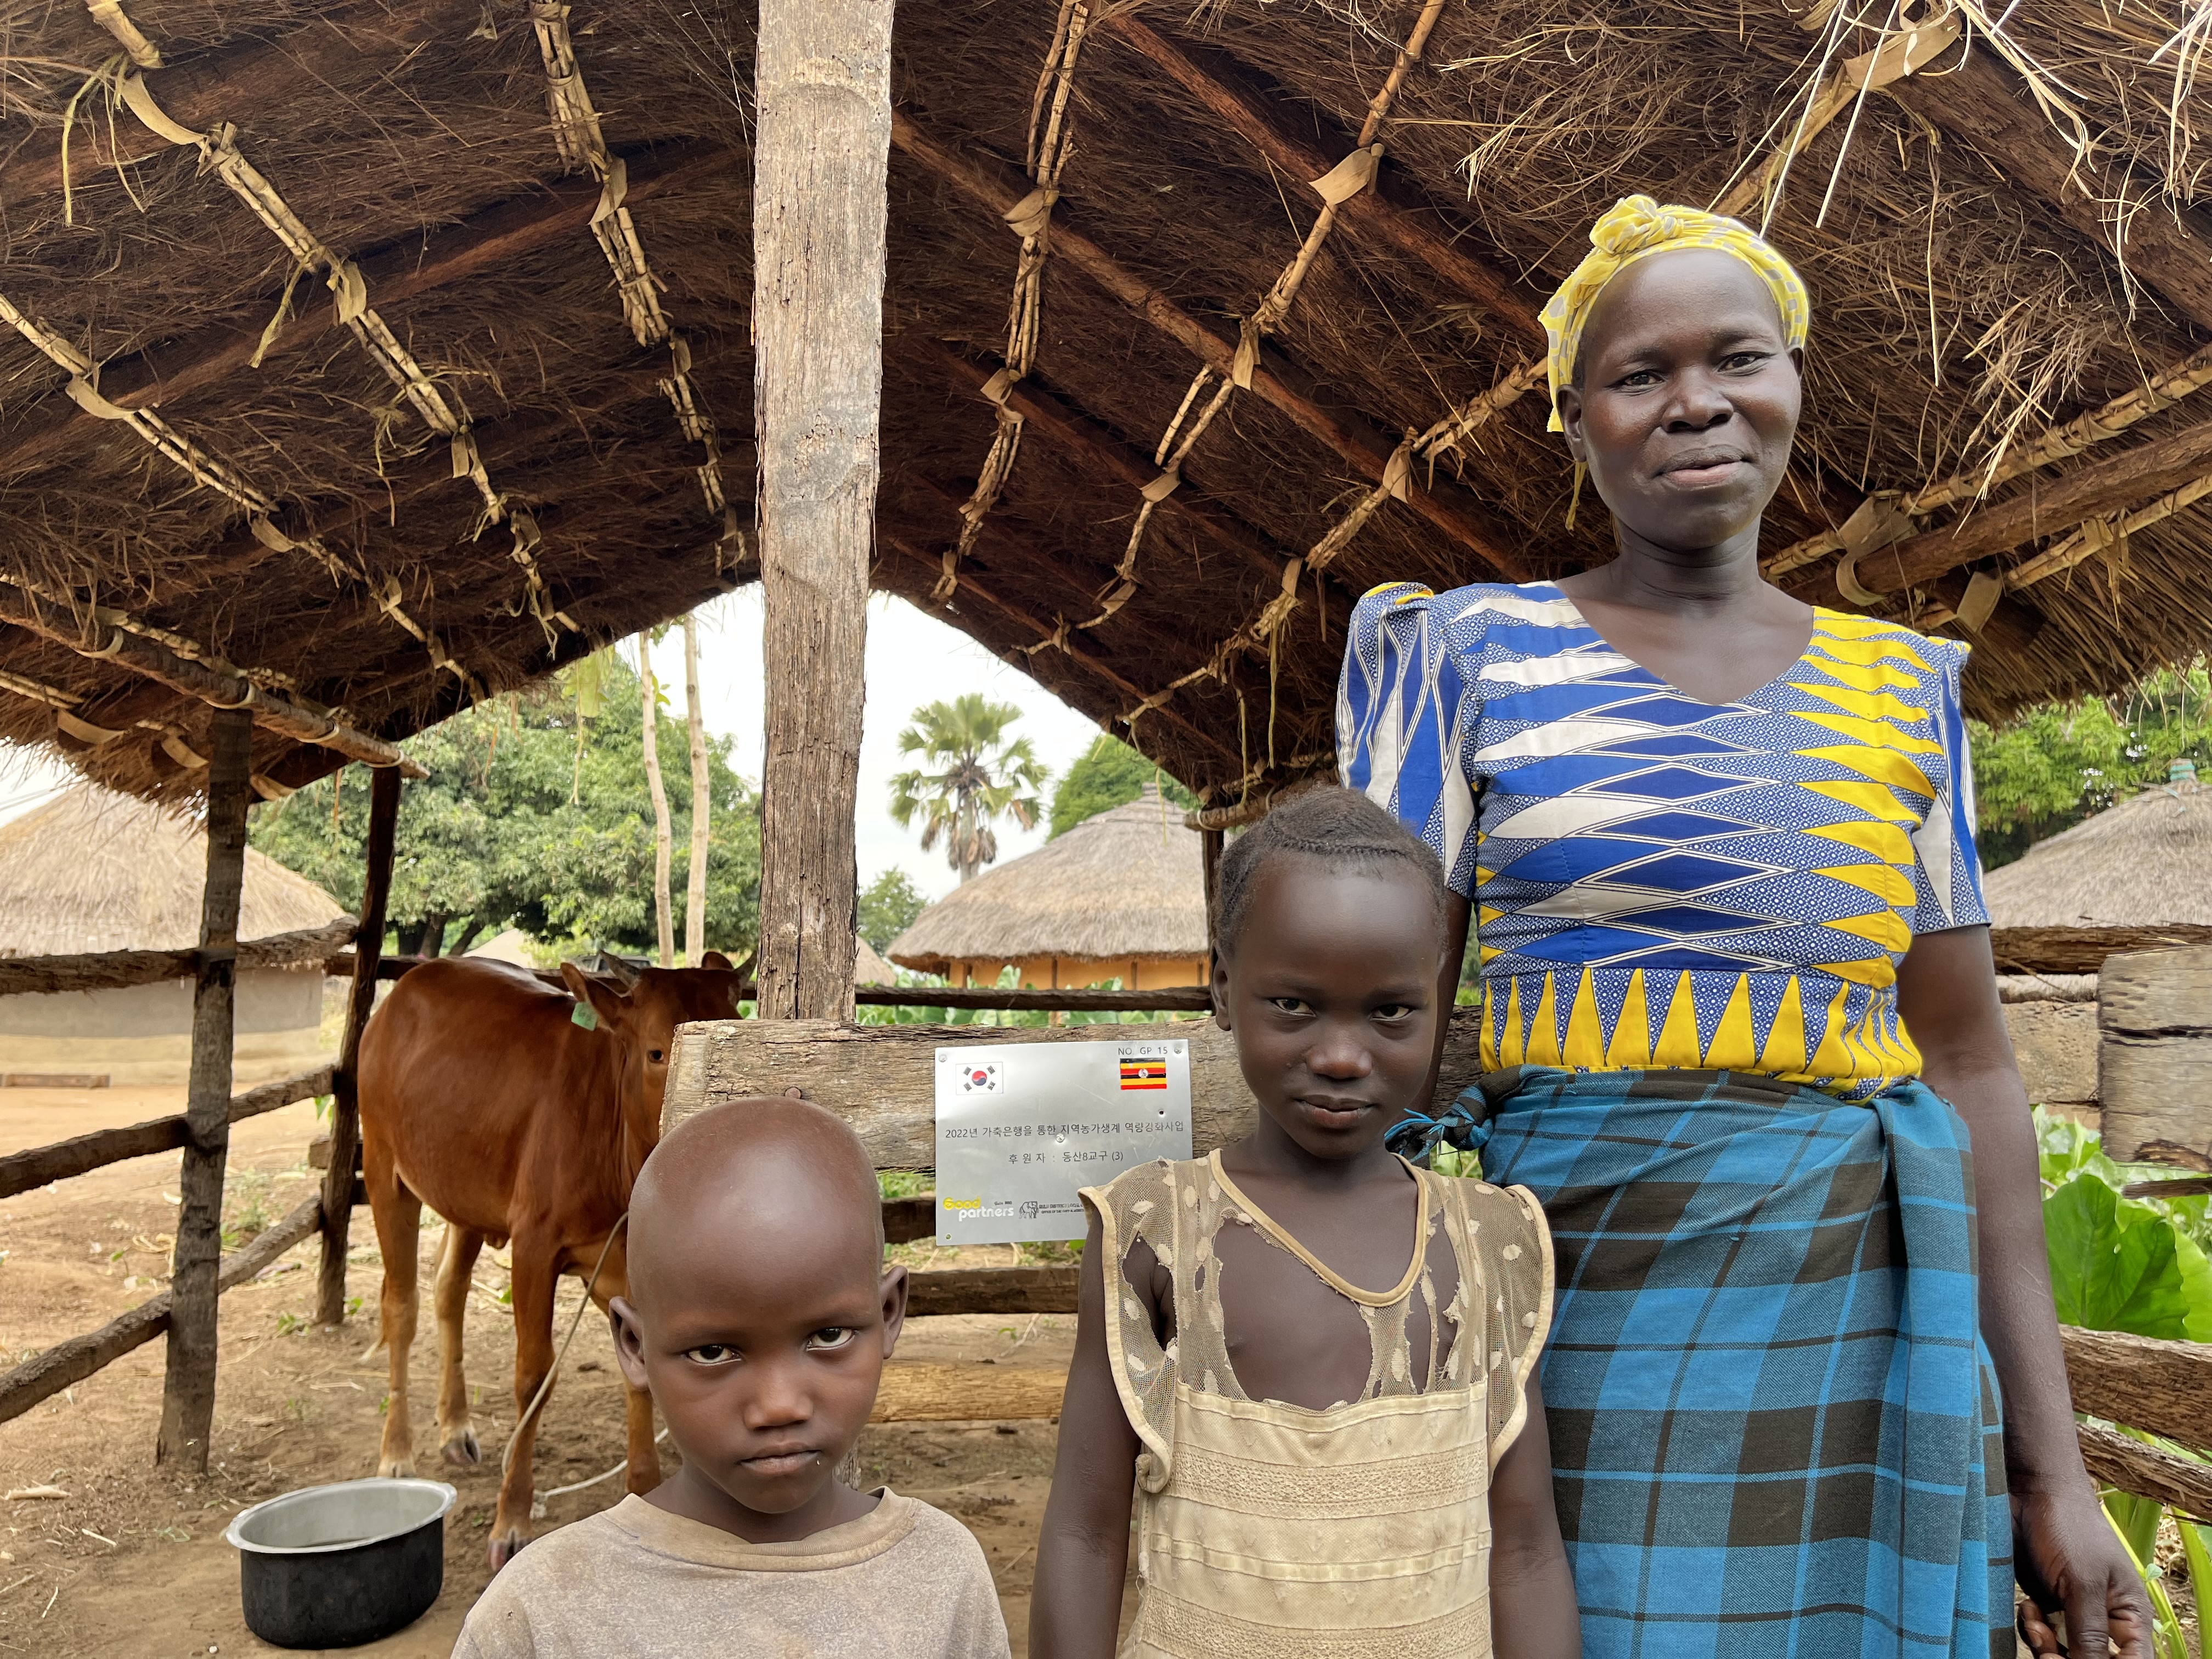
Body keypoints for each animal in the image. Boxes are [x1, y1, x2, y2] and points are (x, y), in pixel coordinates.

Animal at [356, 952, 744, 1566]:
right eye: (658, 1052)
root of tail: (413, 981)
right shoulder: (534, 1246)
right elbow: (532, 1376)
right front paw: (511, 1518)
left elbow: (642, 1372)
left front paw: (645, 1491)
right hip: (383, 1170)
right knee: (401, 1305)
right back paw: (397, 1451)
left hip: (466, 1197)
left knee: (449, 1292)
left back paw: (455, 1427)